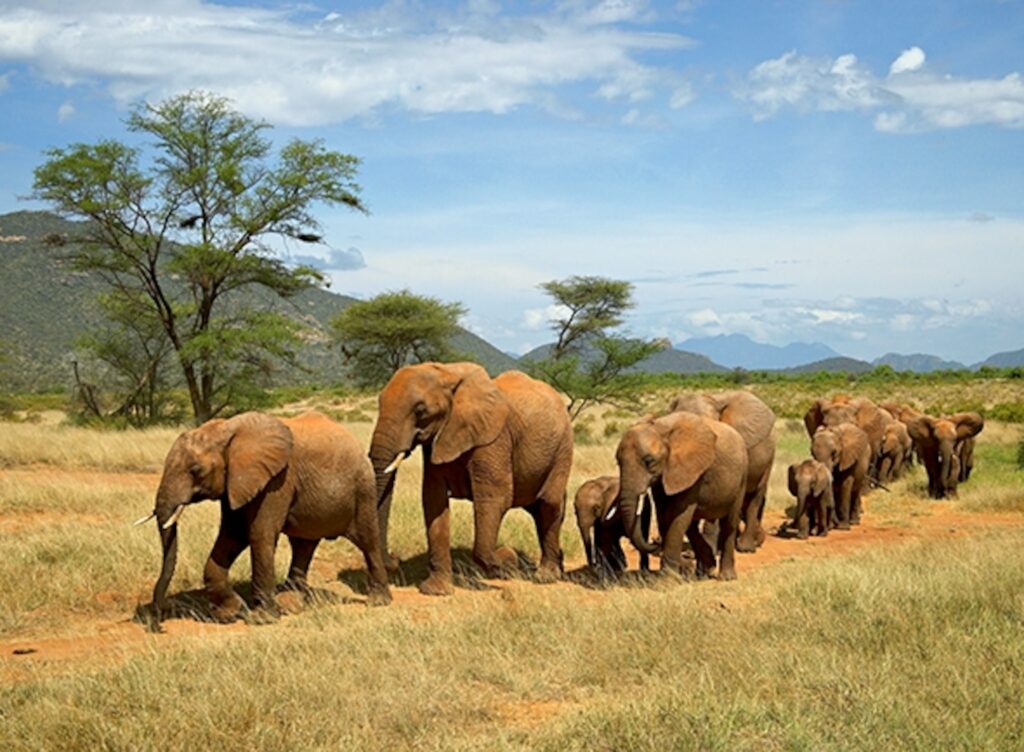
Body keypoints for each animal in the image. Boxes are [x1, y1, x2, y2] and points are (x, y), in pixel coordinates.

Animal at [138, 409, 389, 627]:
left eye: (196, 470)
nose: (164, 611)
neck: (227, 430)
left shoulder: (277, 480)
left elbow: (258, 535)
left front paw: (261, 619)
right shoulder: (236, 484)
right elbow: (231, 536)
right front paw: (230, 613)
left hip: (363, 488)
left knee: (367, 542)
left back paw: (378, 601)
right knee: (303, 546)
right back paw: (291, 603)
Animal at [370, 362, 577, 598]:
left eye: (420, 411)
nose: (393, 561)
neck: (448, 372)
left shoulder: (493, 439)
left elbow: (494, 498)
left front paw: (509, 559)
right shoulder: (437, 441)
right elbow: (433, 500)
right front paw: (436, 590)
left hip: (563, 447)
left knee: (549, 504)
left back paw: (545, 576)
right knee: (539, 510)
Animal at [606, 415, 745, 581]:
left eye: (649, 461)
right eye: (618, 462)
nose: (655, 542)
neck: (661, 428)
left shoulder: (692, 471)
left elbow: (677, 516)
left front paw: (667, 579)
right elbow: (663, 516)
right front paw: (670, 574)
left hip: (742, 478)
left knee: (729, 523)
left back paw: (726, 577)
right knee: (692, 525)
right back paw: (704, 571)